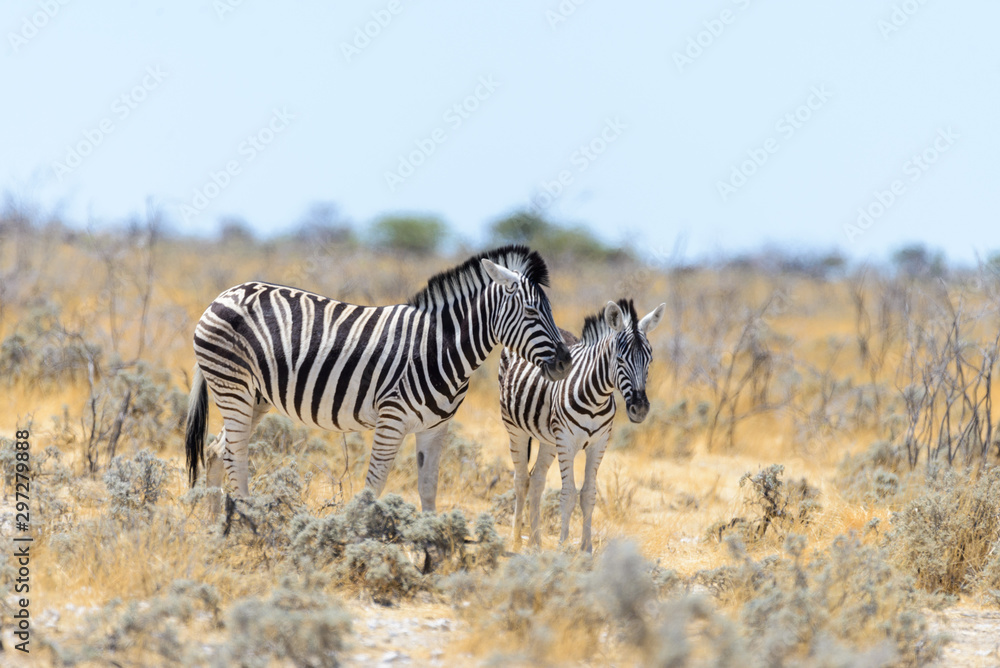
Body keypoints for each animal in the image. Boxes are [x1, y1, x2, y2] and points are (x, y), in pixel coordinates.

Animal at [185, 245, 572, 514]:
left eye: (550, 310)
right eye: (532, 311)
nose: (566, 362)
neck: (438, 345)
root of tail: (224, 293)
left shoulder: (435, 428)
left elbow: (428, 486)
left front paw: (431, 547)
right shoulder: (392, 419)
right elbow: (375, 483)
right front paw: (359, 535)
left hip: (255, 398)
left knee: (216, 450)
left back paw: (214, 525)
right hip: (232, 386)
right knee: (235, 453)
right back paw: (249, 524)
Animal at [499, 298, 665, 552]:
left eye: (650, 360)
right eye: (619, 359)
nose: (640, 409)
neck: (596, 397)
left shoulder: (599, 444)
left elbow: (588, 495)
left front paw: (586, 549)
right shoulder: (567, 442)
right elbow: (568, 495)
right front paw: (563, 547)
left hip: (549, 438)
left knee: (536, 480)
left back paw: (536, 542)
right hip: (515, 428)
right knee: (521, 480)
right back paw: (517, 541)